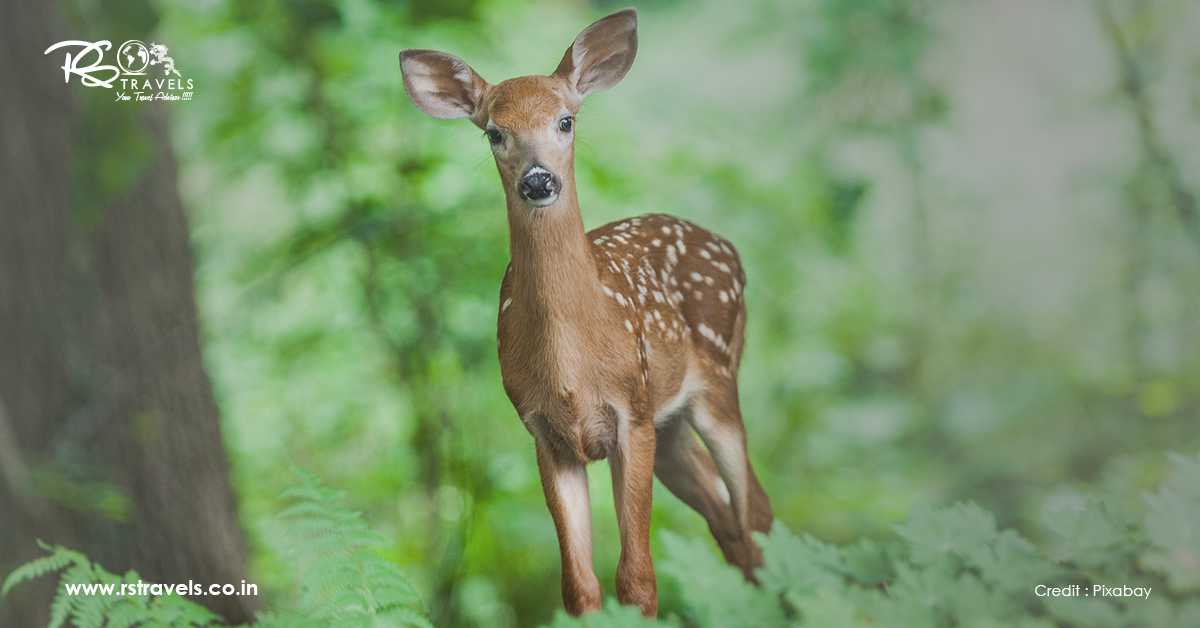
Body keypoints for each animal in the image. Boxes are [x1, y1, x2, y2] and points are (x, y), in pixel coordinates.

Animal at [398, 7, 772, 614]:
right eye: (494, 132)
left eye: (566, 121)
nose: (538, 180)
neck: (572, 364)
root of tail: (728, 247)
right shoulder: (545, 433)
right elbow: (579, 586)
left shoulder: (631, 414)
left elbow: (637, 579)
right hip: (670, 426)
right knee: (728, 521)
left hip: (716, 380)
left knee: (755, 510)